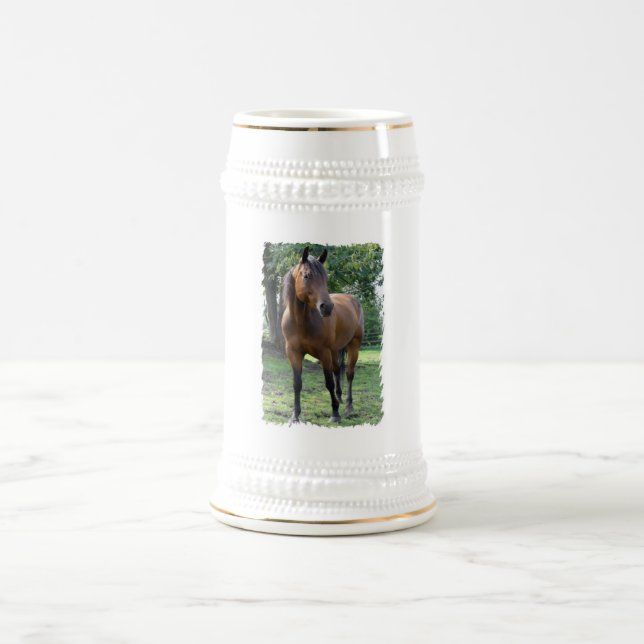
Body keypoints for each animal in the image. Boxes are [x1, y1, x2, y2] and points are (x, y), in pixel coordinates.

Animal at [281, 246, 364, 424]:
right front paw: (295, 415)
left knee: (349, 374)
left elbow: (328, 382)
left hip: (353, 346)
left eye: (325, 278)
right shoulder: (294, 353)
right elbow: (297, 383)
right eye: (307, 275)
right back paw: (339, 399)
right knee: (338, 370)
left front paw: (335, 414)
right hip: (335, 350)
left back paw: (348, 406)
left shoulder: (324, 352)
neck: (302, 322)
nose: (327, 307)